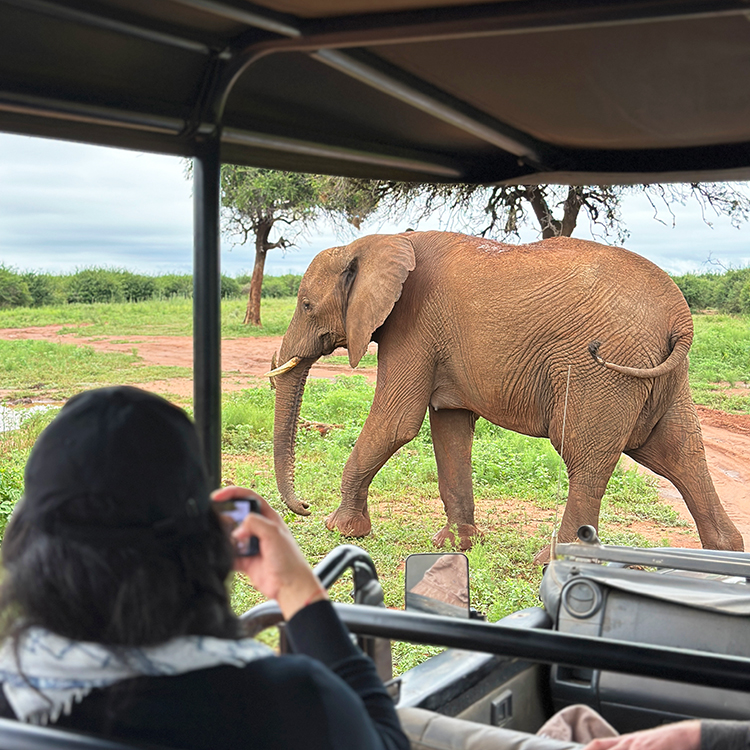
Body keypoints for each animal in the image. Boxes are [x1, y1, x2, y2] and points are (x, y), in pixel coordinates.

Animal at [268, 231, 743, 558]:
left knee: (585, 457)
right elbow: (449, 427)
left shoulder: (413, 326)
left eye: (306, 305)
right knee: (677, 453)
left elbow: (396, 421)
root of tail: (681, 317)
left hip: (602, 369)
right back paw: (725, 559)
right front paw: (455, 545)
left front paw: (340, 530)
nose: (303, 506)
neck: (376, 241)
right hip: (664, 373)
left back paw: (553, 561)